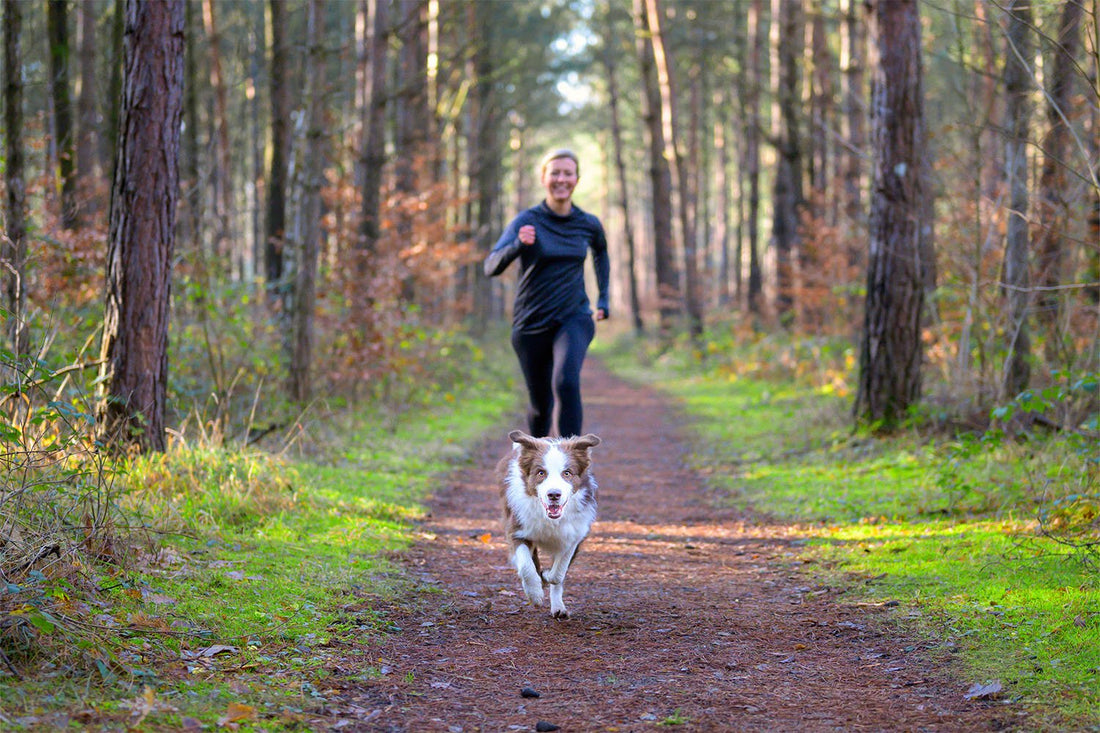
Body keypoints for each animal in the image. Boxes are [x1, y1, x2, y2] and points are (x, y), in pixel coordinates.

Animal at [499, 429, 602, 616]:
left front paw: (546, 576)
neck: (550, 520)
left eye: (567, 473)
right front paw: (535, 593)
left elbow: (558, 573)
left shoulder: (574, 536)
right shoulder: (517, 529)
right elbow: (526, 566)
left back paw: (558, 607)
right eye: (541, 472)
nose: (554, 494)